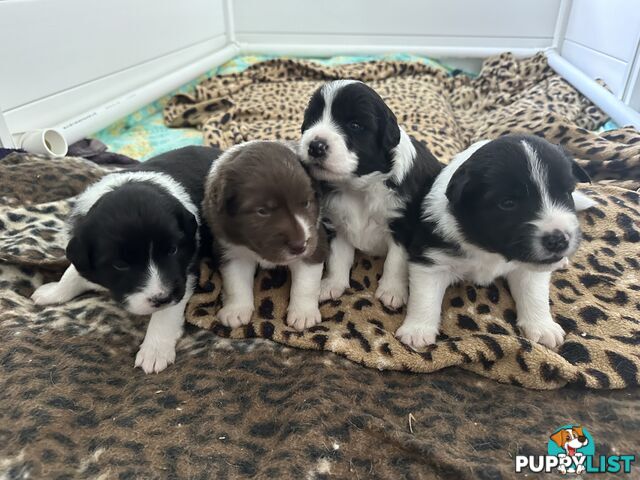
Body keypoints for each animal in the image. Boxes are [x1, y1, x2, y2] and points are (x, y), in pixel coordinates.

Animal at [31, 146, 218, 376]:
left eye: (173, 250)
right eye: (120, 265)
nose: (162, 297)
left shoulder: (186, 269)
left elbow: (167, 312)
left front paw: (155, 350)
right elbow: (72, 272)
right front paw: (53, 292)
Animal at [202, 141, 328, 332]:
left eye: (306, 203)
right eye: (262, 211)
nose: (299, 246)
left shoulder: (315, 243)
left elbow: (306, 283)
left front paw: (304, 313)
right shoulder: (231, 250)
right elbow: (235, 282)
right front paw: (236, 310)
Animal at [298, 79, 440, 308]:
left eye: (355, 125)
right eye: (312, 120)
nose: (315, 146)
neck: (358, 188)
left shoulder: (402, 227)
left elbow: (395, 262)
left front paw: (392, 291)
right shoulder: (337, 224)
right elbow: (338, 258)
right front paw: (332, 284)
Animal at [396, 135, 596, 348]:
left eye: (566, 193)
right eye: (507, 203)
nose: (558, 241)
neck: (489, 250)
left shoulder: (529, 269)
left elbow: (535, 294)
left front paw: (543, 327)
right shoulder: (431, 259)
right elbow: (425, 297)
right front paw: (417, 330)